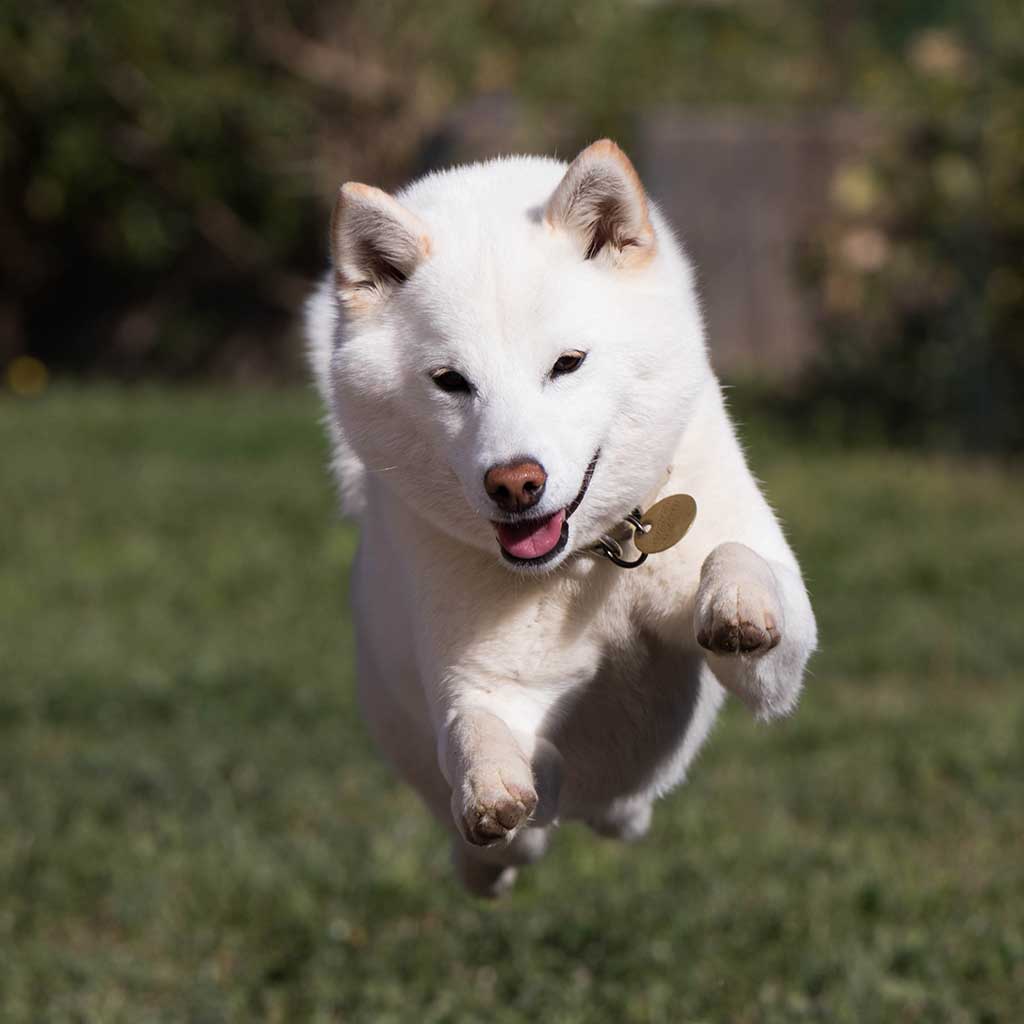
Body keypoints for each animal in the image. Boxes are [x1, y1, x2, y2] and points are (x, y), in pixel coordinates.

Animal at [307, 138, 819, 897]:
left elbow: (734, 559)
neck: (596, 560)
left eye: (567, 364)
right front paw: (492, 787)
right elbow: (475, 731)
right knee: (506, 842)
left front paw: (735, 604)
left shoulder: (777, 670)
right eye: (451, 381)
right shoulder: (490, 689)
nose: (515, 484)